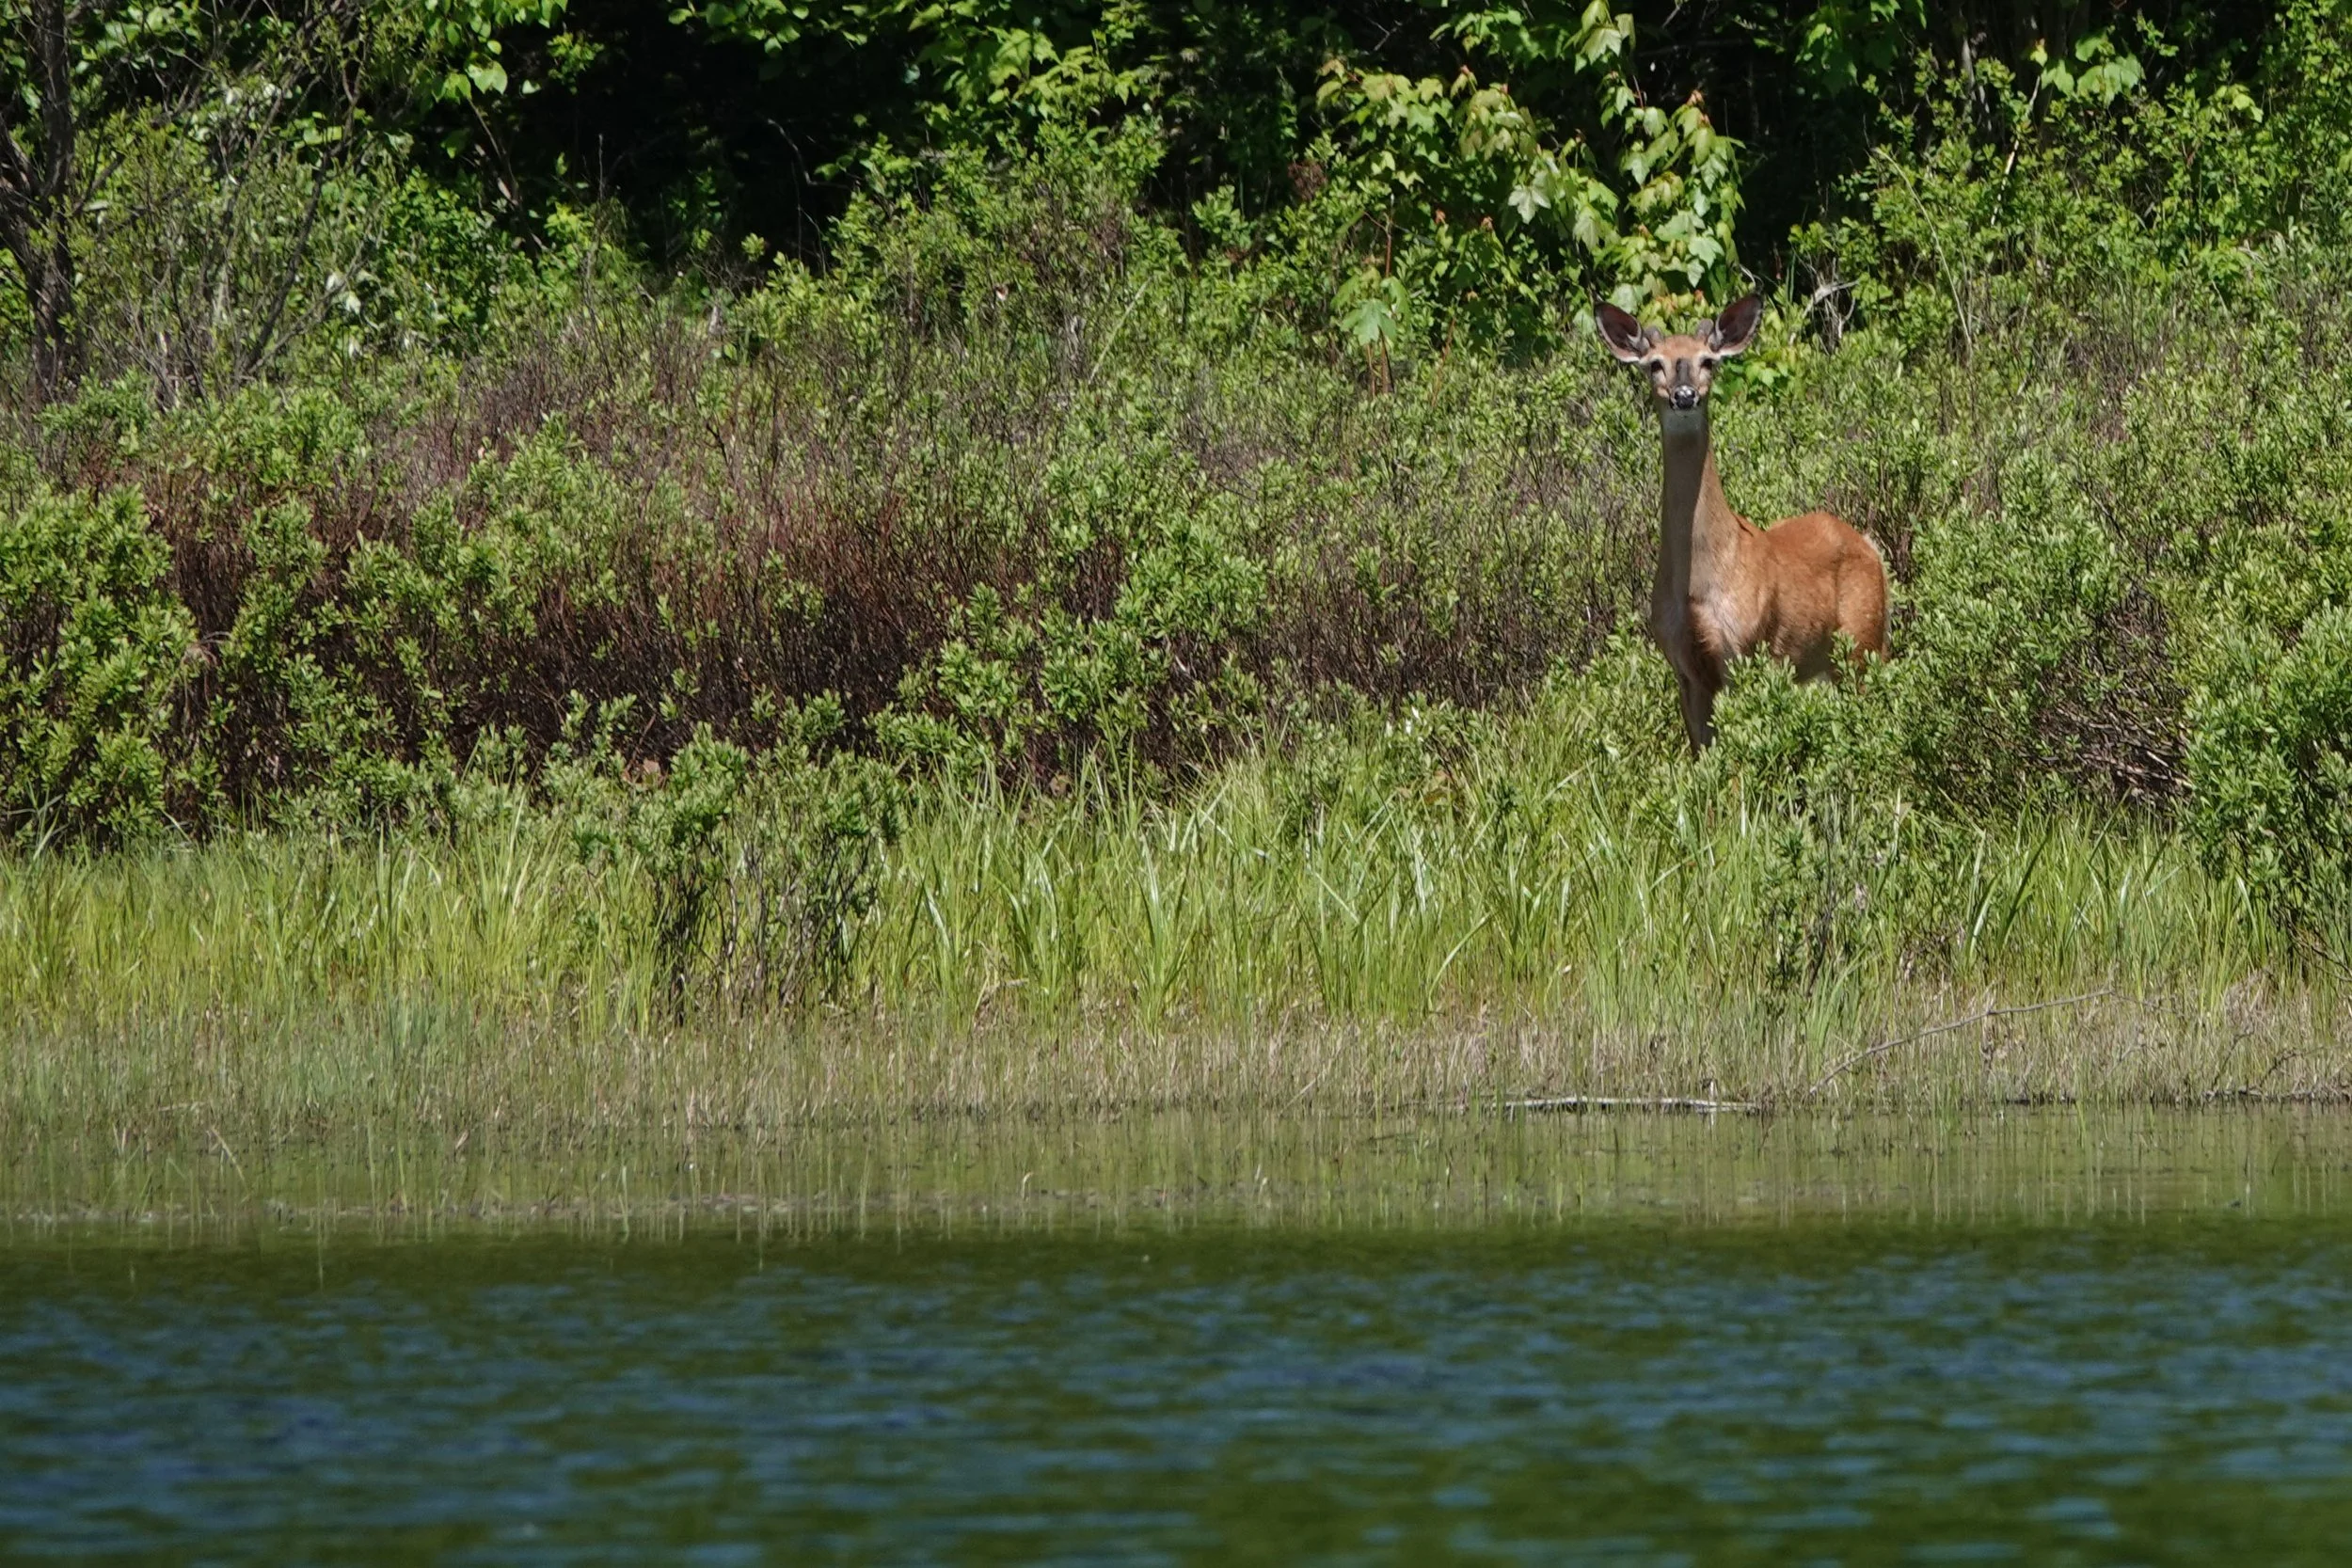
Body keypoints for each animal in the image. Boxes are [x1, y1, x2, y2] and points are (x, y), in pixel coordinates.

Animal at [1596, 294, 1888, 752]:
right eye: (1655, 363)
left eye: (1708, 361)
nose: (1684, 396)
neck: (1700, 585)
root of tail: (1872, 548)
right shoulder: (1685, 669)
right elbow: (1703, 755)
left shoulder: (1744, 650)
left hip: (1865, 640)